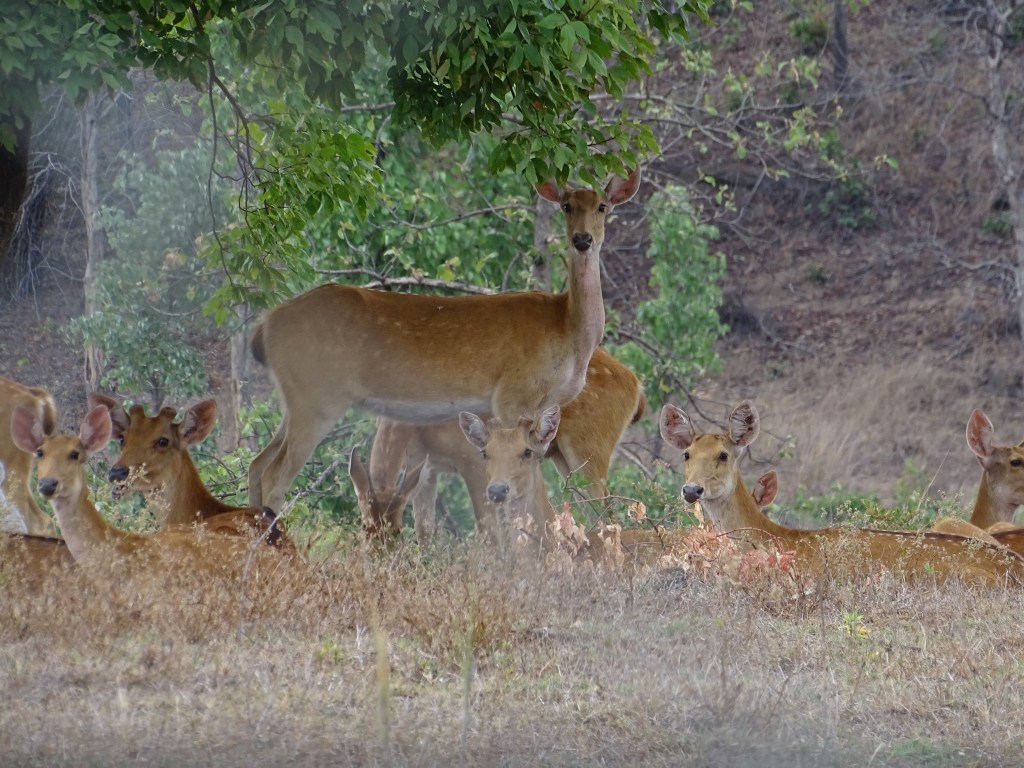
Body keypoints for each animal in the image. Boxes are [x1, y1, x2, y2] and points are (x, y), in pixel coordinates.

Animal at [247, 169, 642, 514]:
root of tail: (264, 325)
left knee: (256, 464)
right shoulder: (512, 397)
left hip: (298, 399)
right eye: (566, 206)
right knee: (275, 475)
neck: (569, 330)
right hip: (317, 397)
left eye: (602, 206)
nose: (582, 240)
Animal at [352, 346, 645, 542]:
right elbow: (425, 530)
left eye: (396, 531)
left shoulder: (470, 460)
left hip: (589, 449)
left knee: (608, 513)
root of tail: (636, 385)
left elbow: (488, 530)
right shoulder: (426, 466)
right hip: (564, 459)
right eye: (363, 527)